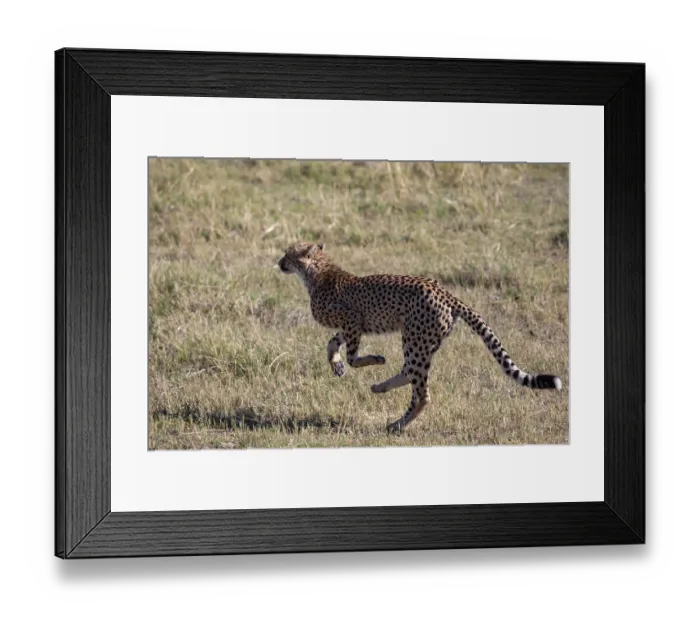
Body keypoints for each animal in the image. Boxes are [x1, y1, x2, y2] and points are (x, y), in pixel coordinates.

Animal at [278, 241, 563, 434]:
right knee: (410, 375)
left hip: (414, 340)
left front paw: (373, 359)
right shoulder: (348, 326)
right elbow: (332, 344)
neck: (318, 271)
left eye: (288, 254)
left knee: (422, 394)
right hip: (424, 343)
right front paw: (336, 367)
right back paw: (381, 390)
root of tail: (447, 293)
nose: (279, 262)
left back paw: (395, 424)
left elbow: (353, 356)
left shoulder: (353, 320)